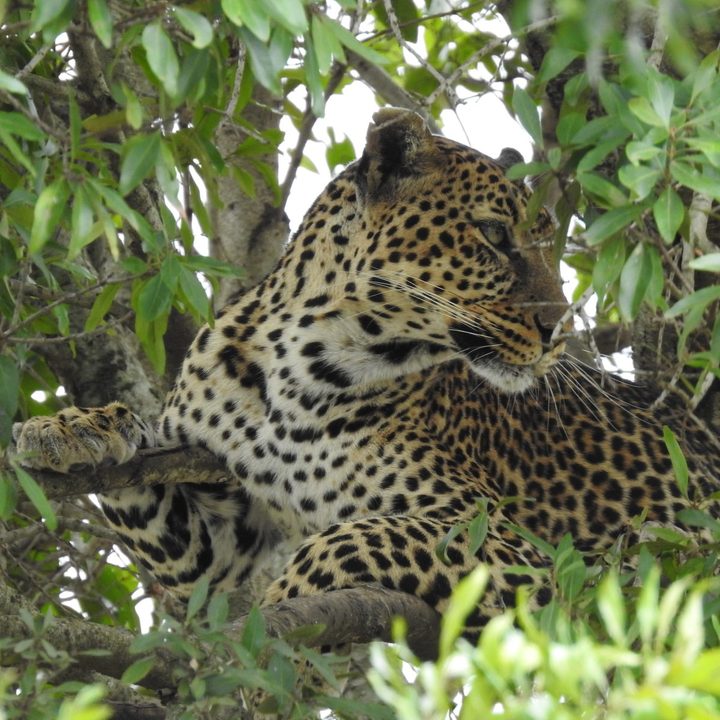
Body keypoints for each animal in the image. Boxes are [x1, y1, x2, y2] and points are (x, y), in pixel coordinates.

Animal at [12, 108, 720, 637]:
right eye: (494, 235)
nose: (560, 331)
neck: (300, 362)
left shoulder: (519, 551)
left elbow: (354, 536)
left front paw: (274, 620)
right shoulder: (222, 545)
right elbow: (154, 496)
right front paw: (71, 429)